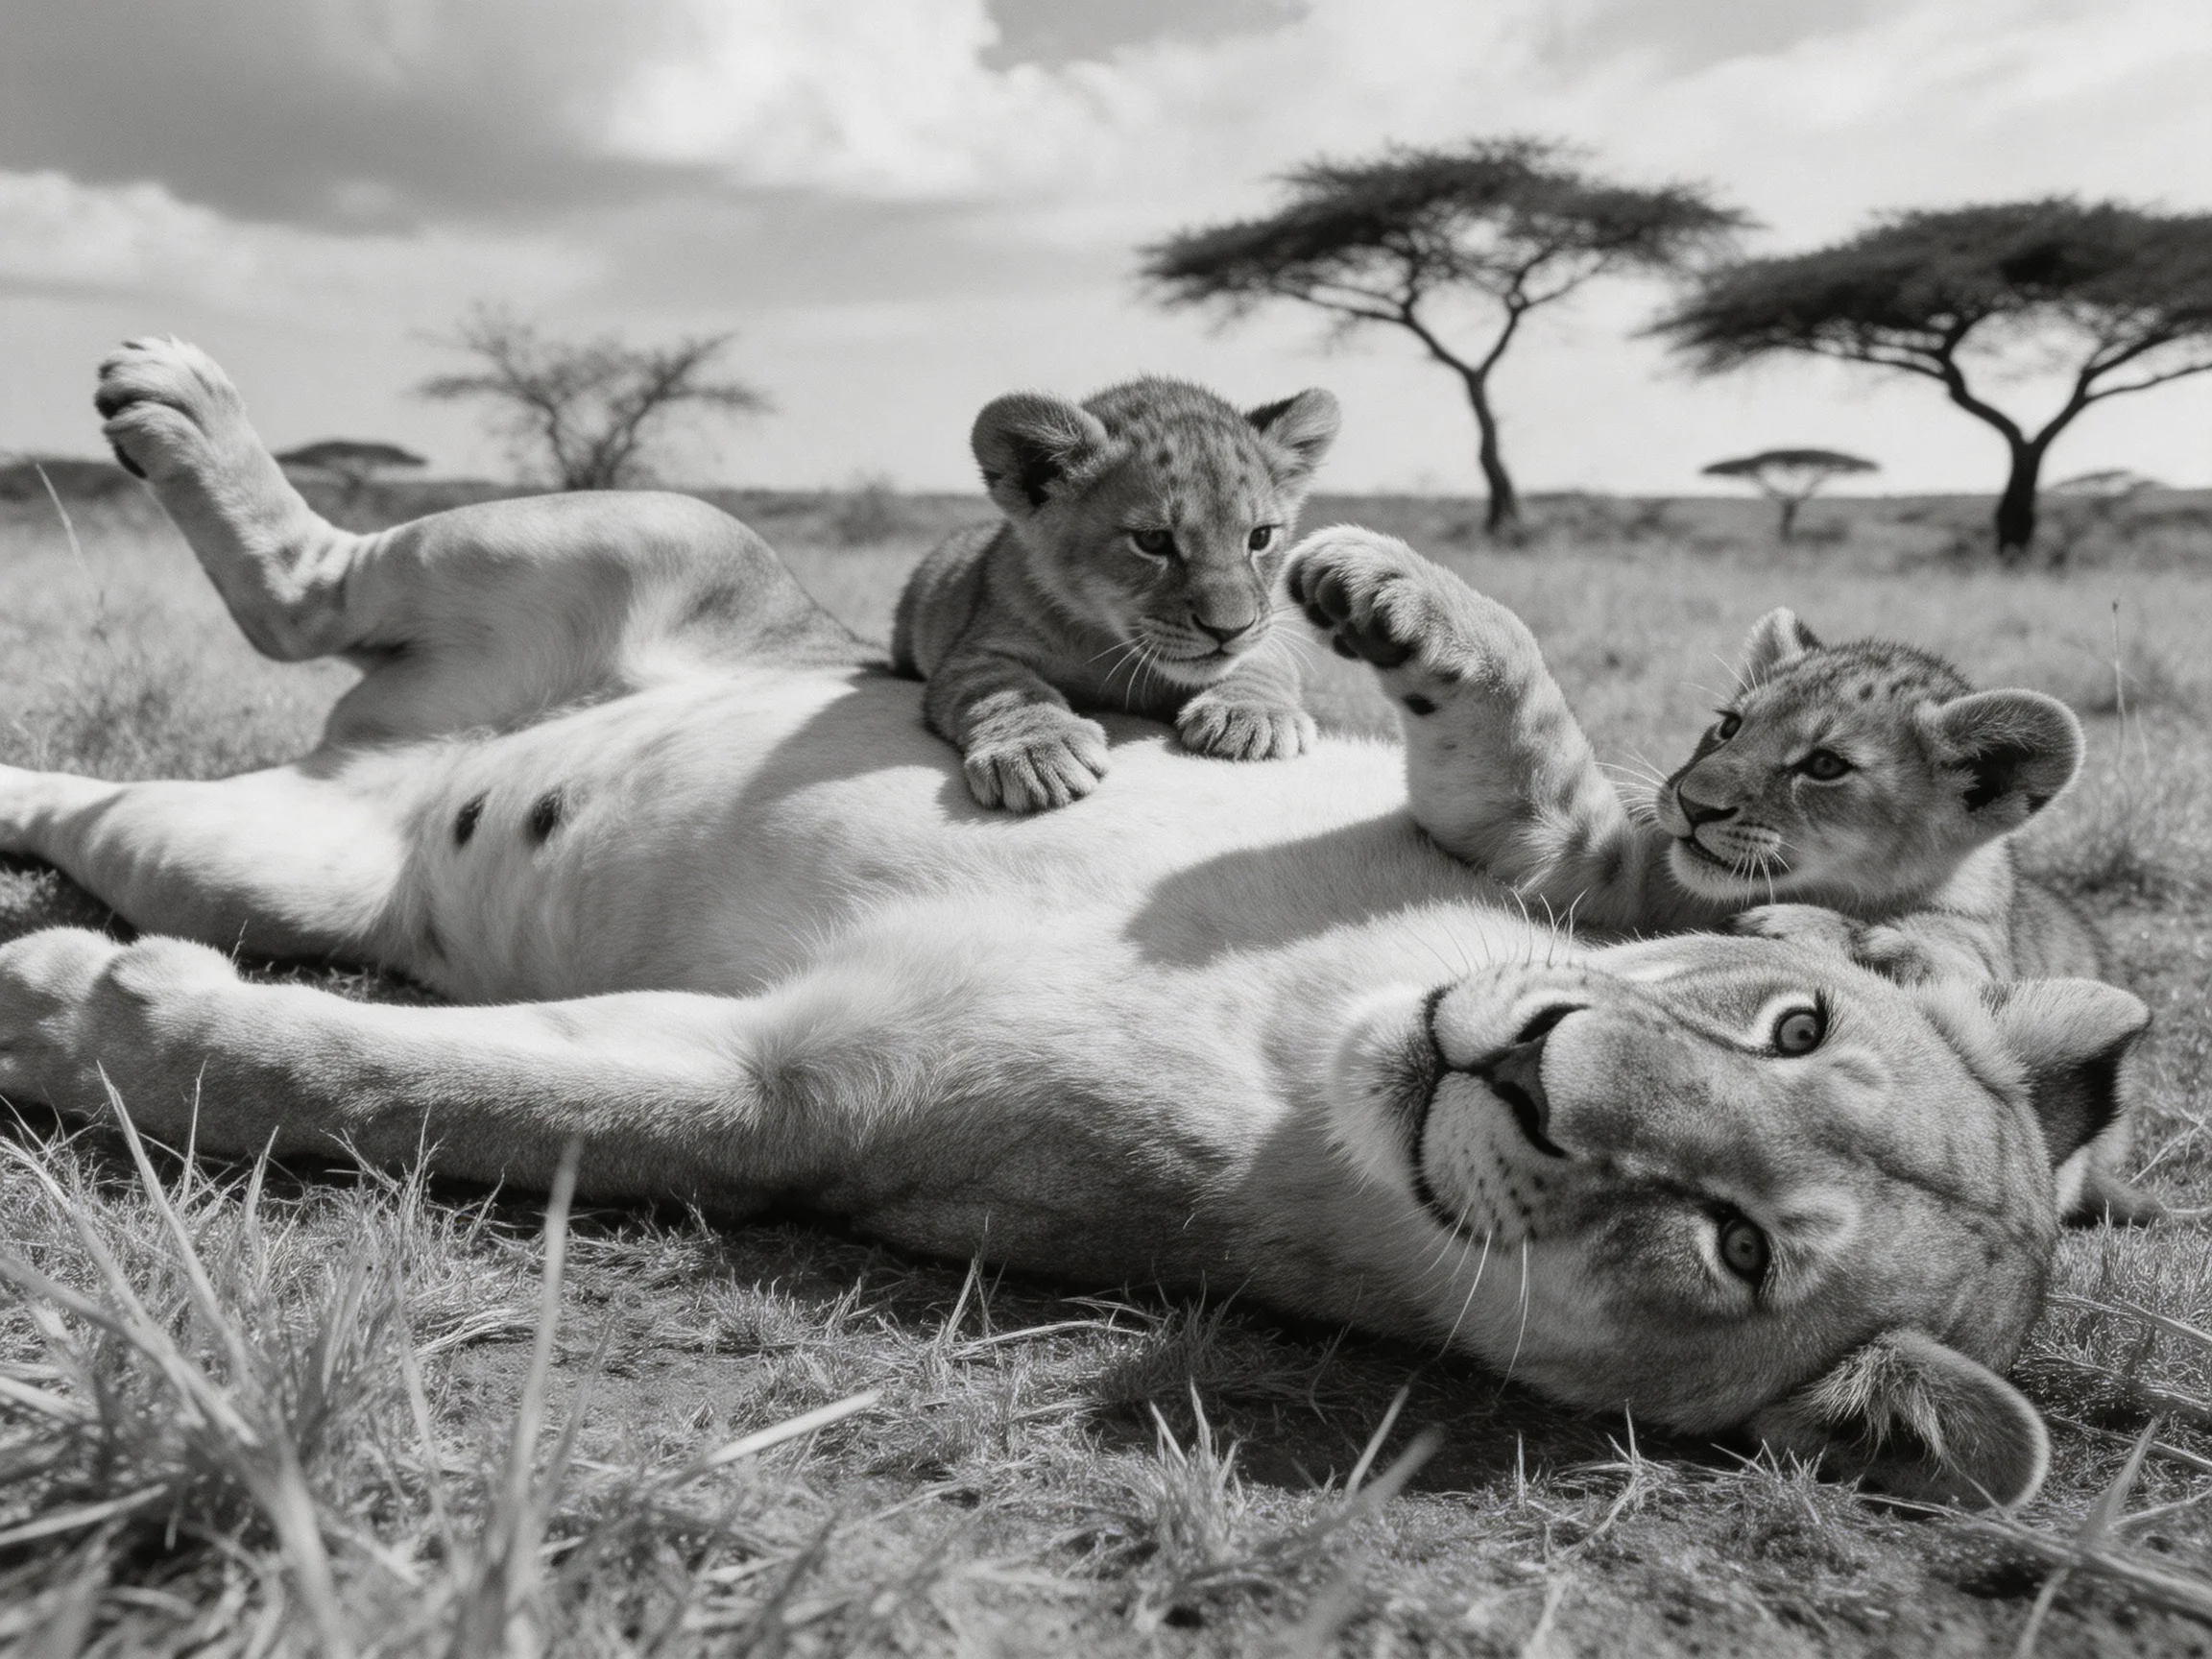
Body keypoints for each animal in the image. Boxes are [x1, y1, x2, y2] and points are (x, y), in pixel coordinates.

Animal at [0, 339, 2148, 1509]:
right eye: (1789, 1024)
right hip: (634, 530)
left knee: (114, 794)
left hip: (254, 853)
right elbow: (1519, 758)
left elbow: (398, 1079)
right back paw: (166, 398)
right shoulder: (1567, 853)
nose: (1533, 1065)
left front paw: (78, 1012)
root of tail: (379, 768)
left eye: (1736, 1246)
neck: (1310, 1039)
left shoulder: (792, 1095)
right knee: (308, 573)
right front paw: (1383, 603)